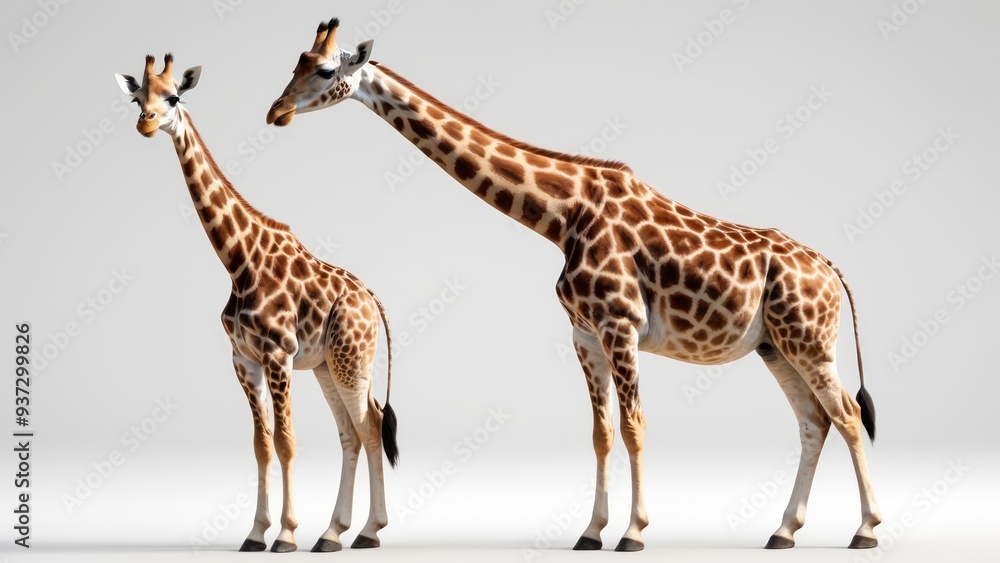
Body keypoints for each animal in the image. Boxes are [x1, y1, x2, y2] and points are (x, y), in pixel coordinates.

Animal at [115, 54, 399, 553]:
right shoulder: (242, 358)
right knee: (350, 432)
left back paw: (368, 531)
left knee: (370, 424)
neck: (237, 260)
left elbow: (286, 441)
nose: (145, 122)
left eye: (174, 97)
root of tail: (370, 297)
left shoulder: (277, 354)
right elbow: (261, 443)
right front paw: (255, 533)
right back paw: (334, 533)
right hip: (327, 365)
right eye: (136, 98)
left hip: (352, 358)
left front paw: (285, 534)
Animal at [265, 20, 881, 551]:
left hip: (809, 339)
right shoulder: (584, 334)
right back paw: (784, 531)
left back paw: (866, 529)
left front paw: (633, 534)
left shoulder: (620, 325)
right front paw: (590, 532)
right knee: (814, 421)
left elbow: (634, 427)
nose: (275, 111)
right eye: (297, 62)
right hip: (774, 346)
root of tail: (831, 268)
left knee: (848, 416)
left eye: (324, 70)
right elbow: (601, 433)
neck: (563, 216)